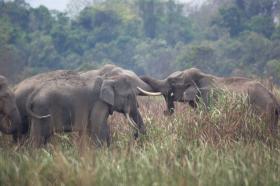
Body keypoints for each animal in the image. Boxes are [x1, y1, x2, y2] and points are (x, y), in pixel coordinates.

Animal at [17, 70, 145, 145]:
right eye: (128, 96)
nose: (135, 135)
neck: (108, 80)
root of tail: (33, 94)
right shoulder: (98, 103)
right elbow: (99, 127)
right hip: (42, 110)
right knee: (38, 137)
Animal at [141, 68, 278, 134]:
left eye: (172, 82)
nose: (164, 112)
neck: (201, 76)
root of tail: (274, 98)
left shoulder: (208, 98)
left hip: (262, 110)